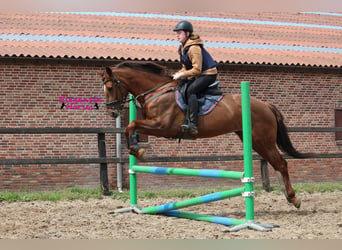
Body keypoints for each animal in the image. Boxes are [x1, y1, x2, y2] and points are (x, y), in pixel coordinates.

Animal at [97, 61, 314, 209]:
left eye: (110, 87)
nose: (112, 113)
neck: (157, 92)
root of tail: (266, 105)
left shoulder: (163, 127)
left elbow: (131, 125)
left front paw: (139, 151)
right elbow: (131, 127)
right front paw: (136, 148)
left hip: (262, 139)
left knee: (281, 163)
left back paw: (293, 197)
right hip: (254, 140)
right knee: (275, 162)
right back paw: (288, 196)